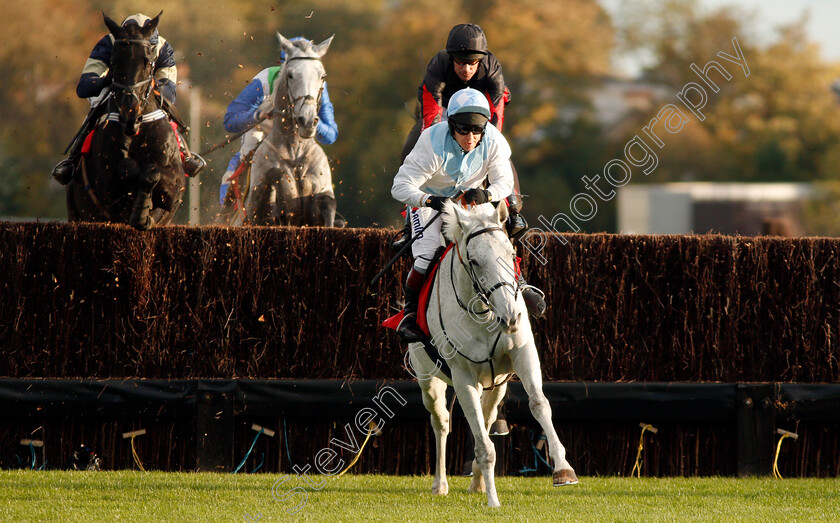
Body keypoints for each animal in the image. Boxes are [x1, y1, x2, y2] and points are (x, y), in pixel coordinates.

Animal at [406, 201, 576, 508]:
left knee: (485, 419)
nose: (511, 316)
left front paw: (563, 469)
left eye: (511, 254)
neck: (485, 314)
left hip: (498, 383)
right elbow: (482, 444)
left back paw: (477, 482)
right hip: (428, 379)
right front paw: (493, 500)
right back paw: (441, 483)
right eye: (474, 261)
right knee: (441, 421)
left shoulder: (523, 355)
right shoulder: (463, 377)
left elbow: (539, 405)